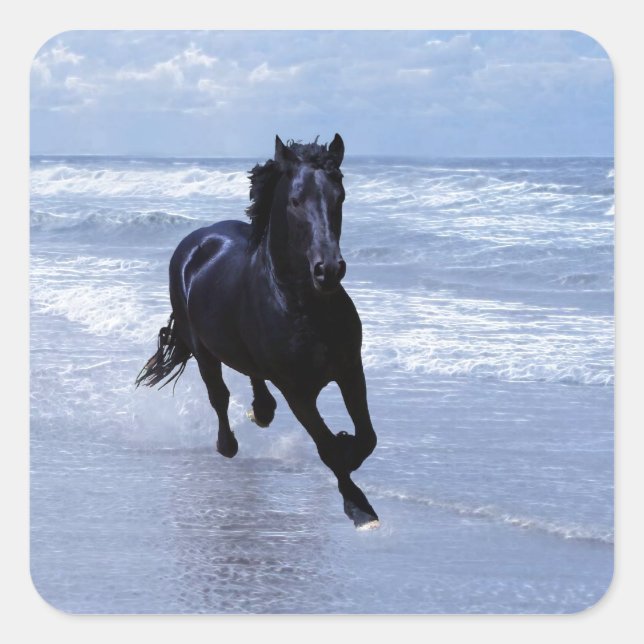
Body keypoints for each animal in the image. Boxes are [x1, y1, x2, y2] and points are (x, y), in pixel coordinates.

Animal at [136, 134, 379, 529]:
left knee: (252, 375)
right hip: (201, 347)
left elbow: (367, 437)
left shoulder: (350, 370)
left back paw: (261, 411)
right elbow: (327, 447)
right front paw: (360, 508)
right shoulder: (297, 391)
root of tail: (196, 240)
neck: (303, 306)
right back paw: (227, 444)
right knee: (218, 395)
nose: (328, 270)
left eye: (339, 196)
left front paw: (349, 448)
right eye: (295, 200)